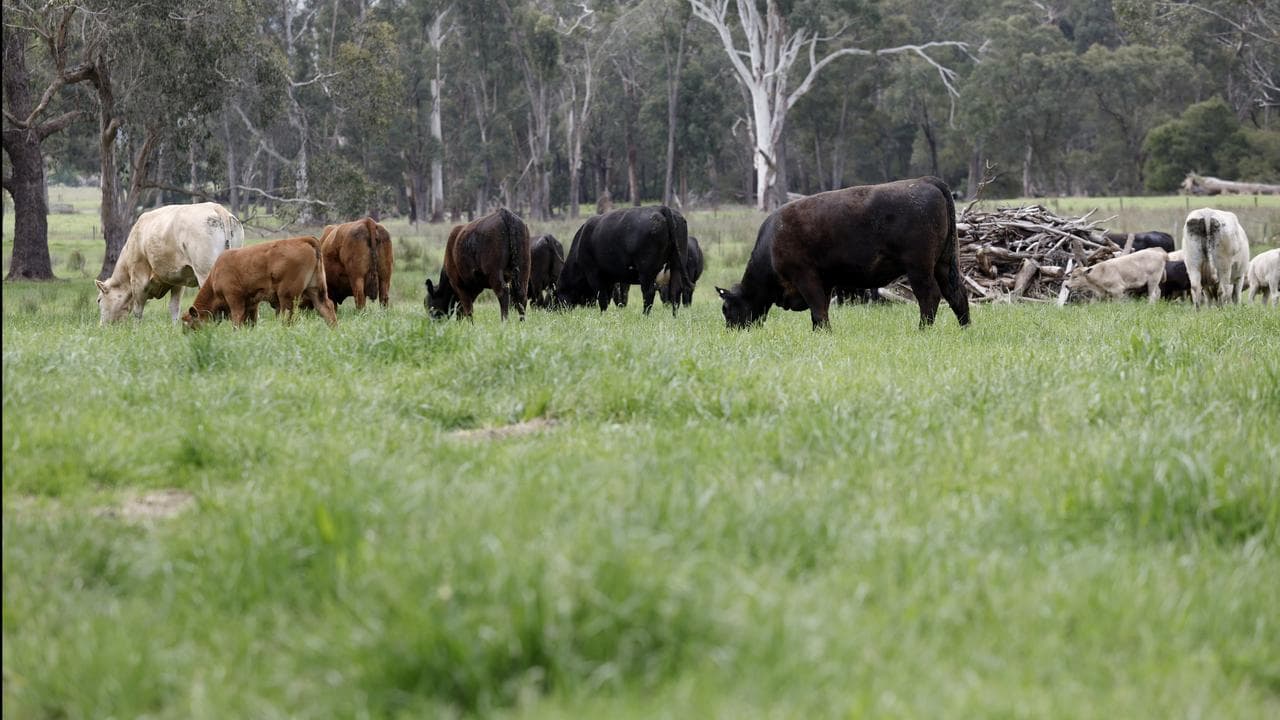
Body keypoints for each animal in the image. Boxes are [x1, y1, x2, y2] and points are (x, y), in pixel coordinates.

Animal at [96, 202, 243, 324]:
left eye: (99, 300)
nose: (102, 326)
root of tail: (218, 208)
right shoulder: (178, 280)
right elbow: (174, 307)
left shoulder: (138, 278)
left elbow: (138, 310)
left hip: (205, 272)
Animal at [181, 236, 337, 329]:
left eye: (190, 325)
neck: (215, 275)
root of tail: (304, 239)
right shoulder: (252, 304)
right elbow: (251, 322)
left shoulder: (234, 299)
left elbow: (237, 319)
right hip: (316, 289)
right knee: (327, 307)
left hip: (287, 295)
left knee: (288, 315)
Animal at [555, 205, 689, 317]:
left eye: (558, 294)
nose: (556, 310)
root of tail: (661, 208)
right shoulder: (609, 280)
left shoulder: (593, 274)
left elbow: (602, 298)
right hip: (676, 264)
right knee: (675, 290)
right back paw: (674, 316)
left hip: (646, 270)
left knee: (649, 292)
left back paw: (644, 315)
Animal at [716, 177, 969, 330]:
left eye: (726, 309)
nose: (731, 331)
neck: (771, 245)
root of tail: (925, 180)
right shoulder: (825, 282)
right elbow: (820, 311)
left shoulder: (806, 277)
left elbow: (818, 309)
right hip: (943, 263)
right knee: (956, 294)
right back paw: (965, 328)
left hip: (919, 268)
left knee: (930, 297)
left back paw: (922, 330)